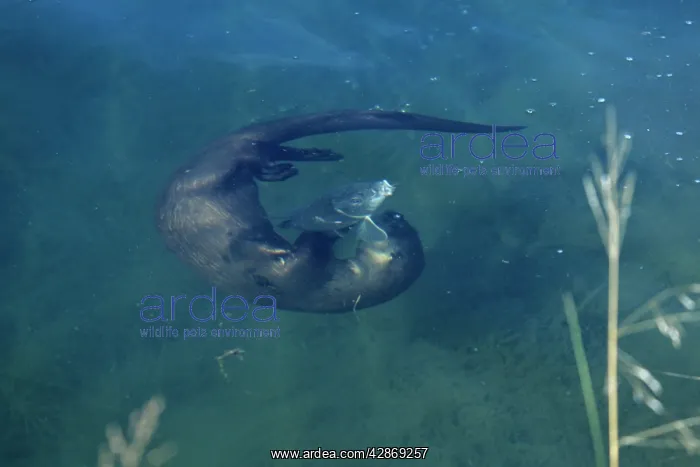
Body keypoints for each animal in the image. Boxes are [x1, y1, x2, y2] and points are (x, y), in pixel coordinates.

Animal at [157, 110, 524, 313]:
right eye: (399, 223)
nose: (395, 214)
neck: (323, 291)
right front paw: (338, 225)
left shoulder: (299, 275)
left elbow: (305, 247)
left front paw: (334, 227)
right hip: (223, 165)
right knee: (265, 154)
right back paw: (310, 159)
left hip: (225, 164)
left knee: (264, 154)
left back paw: (305, 160)